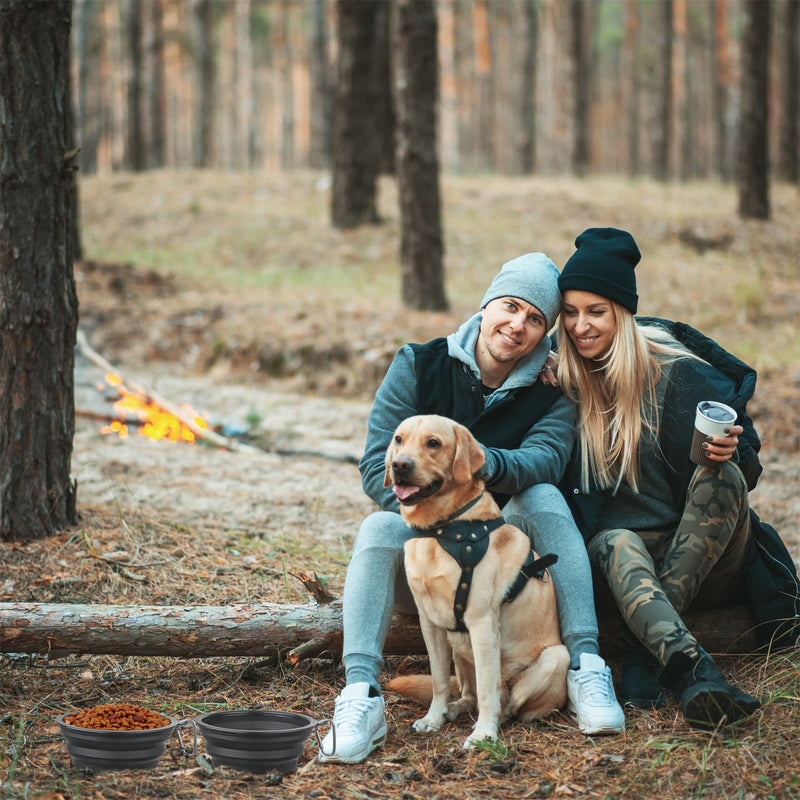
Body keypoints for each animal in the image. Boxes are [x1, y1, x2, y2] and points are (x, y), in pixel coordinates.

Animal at [382, 416, 564, 748]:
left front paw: (483, 734)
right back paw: (453, 710)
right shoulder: (431, 623)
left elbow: (489, 690)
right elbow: (440, 681)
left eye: (433, 443)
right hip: (458, 647)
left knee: (505, 701)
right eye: (399, 439)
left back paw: (489, 722)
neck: (443, 530)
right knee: (470, 694)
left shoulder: (481, 623)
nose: (400, 465)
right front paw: (433, 716)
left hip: (555, 657)